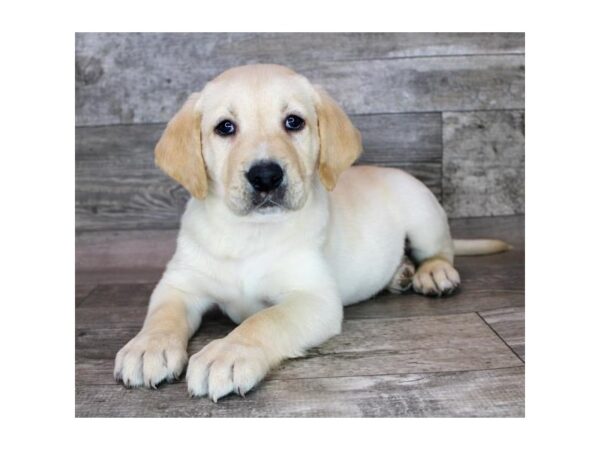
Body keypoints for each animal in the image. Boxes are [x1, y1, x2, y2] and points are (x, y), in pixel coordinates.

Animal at [112, 64, 506, 400]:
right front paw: (147, 347)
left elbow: (265, 320)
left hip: (423, 212)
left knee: (441, 250)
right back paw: (400, 273)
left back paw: (432, 273)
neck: (249, 232)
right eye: (225, 127)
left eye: (293, 122)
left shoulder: (313, 298)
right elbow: (162, 315)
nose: (266, 176)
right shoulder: (180, 284)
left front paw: (227, 353)